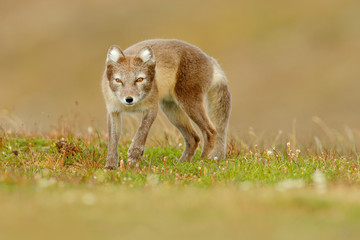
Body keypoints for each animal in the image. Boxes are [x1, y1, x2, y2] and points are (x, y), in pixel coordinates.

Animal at [102, 38, 231, 169]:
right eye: (118, 80)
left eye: (139, 79)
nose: (129, 99)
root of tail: (209, 58)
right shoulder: (113, 111)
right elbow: (112, 142)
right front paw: (110, 166)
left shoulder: (152, 108)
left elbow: (142, 132)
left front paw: (134, 156)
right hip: (172, 111)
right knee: (194, 138)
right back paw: (181, 164)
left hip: (188, 104)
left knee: (210, 132)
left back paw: (201, 161)